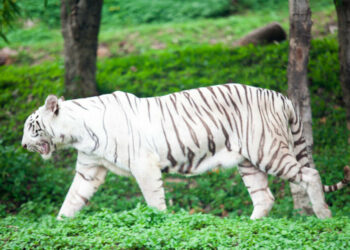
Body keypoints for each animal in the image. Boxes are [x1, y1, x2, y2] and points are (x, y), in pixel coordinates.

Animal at [22, 83, 350, 219]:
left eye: (32, 126)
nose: (23, 145)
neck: (77, 132)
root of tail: (281, 97)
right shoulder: (89, 169)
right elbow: (72, 199)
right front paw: (59, 226)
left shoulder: (144, 165)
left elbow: (154, 201)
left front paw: (161, 224)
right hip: (248, 161)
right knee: (265, 197)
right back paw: (250, 226)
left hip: (267, 150)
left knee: (310, 174)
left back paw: (324, 216)